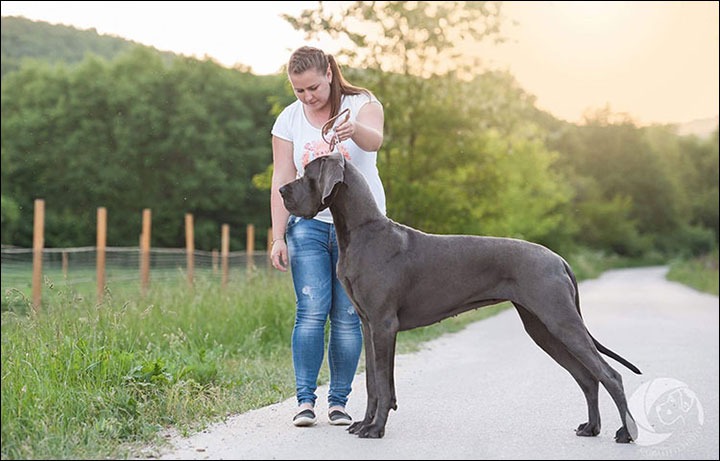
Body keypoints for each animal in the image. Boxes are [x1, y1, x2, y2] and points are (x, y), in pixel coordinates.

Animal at [280, 152, 640, 442]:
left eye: (307, 173)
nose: (281, 190)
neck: (362, 232)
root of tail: (559, 259)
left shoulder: (384, 325)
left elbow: (382, 382)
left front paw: (376, 429)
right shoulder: (368, 326)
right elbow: (371, 383)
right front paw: (364, 424)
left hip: (560, 320)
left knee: (610, 375)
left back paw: (626, 433)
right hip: (542, 328)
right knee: (587, 377)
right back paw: (591, 428)